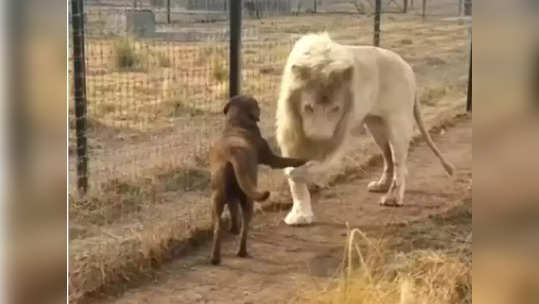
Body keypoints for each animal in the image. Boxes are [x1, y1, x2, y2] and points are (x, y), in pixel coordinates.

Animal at [209, 96, 306, 264]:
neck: (236, 124)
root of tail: (232, 154)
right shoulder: (272, 159)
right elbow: (288, 160)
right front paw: (303, 160)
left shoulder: (232, 198)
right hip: (248, 199)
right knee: (244, 228)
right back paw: (242, 251)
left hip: (218, 198)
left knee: (219, 227)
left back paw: (216, 257)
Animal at [276, 32, 454, 226]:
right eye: (308, 107)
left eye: (335, 109)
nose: (319, 136)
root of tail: (407, 67)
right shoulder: (292, 131)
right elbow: (296, 174)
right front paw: (300, 214)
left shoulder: (337, 133)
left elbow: (308, 166)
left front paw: (305, 179)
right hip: (376, 126)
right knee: (388, 157)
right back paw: (381, 185)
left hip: (398, 124)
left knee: (399, 163)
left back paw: (393, 198)